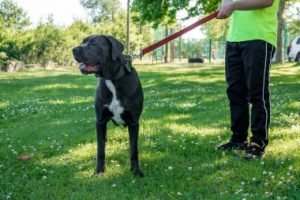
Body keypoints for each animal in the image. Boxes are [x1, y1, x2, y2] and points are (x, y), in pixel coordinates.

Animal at [72, 35, 144, 177]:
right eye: (83, 42)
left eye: (94, 44)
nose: (74, 49)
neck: (112, 79)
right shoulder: (100, 121)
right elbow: (100, 149)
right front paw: (99, 171)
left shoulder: (134, 122)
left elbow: (134, 149)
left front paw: (136, 170)